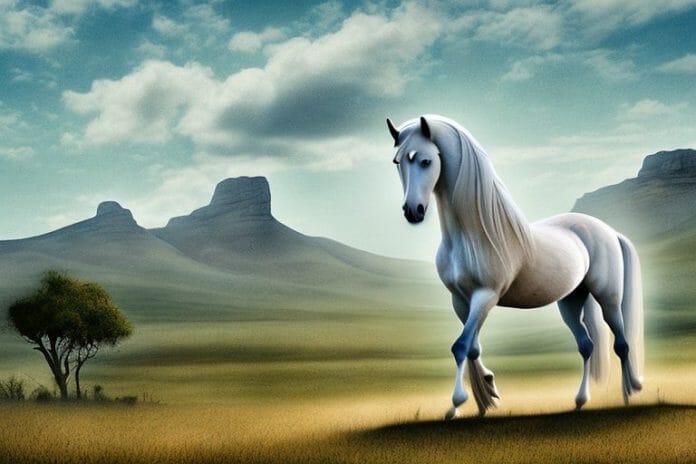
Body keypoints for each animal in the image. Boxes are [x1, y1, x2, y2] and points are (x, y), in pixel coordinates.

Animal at [386, 114, 644, 418]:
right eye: (397, 161)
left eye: (426, 161)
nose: (412, 211)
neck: (472, 235)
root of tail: (608, 230)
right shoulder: (460, 300)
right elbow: (472, 347)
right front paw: (486, 395)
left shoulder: (485, 296)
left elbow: (460, 346)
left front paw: (456, 404)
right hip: (571, 300)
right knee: (586, 345)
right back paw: (580, 400)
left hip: (608, 297)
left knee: (622, 343)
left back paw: (628, 396)